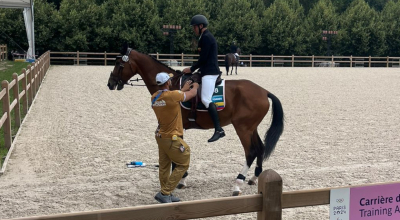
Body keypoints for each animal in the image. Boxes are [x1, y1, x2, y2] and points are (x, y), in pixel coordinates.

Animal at [107, 44, 284, 196]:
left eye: (118, 63)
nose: (110, 83)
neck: (170, 87)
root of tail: (263, 91)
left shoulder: (176, 127)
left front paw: (181, 180)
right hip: (251, 128)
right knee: (260, 148)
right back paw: (254, 178)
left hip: (243, 129)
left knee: (251, 152)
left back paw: (238, 184)